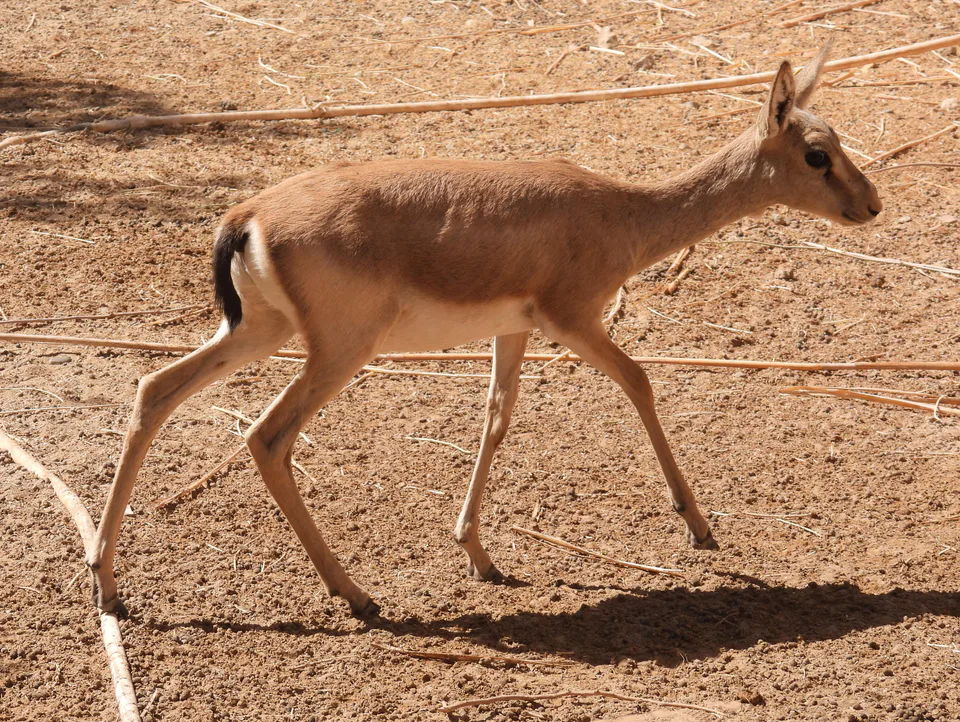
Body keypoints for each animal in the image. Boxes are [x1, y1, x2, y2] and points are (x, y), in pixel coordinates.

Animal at [88, 46, 880, 617]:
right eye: (816, 154)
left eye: (836, 140)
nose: (871, 204)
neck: (619, 213)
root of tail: (248, 214)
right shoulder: (574, 320)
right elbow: (640, 382)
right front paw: (699, 525)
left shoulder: (515, 331)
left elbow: (497, 418)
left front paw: (478, 553)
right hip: (337, 352)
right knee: (265, 437)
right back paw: (357, 596)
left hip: (261, 333)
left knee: (154, 390)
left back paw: (108, 584)